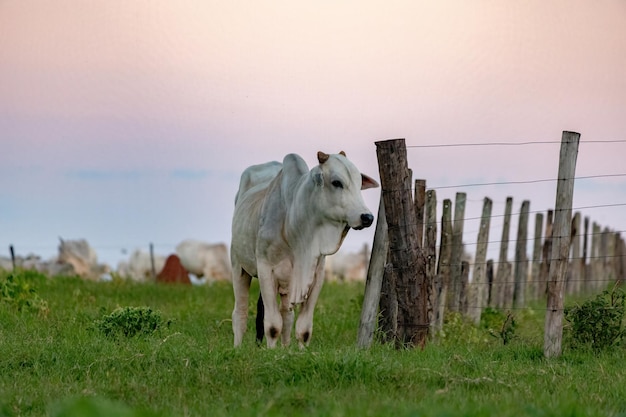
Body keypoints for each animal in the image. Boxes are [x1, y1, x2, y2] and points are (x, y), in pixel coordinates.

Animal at [229, 151, 376, 346]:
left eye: (360, 184)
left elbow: (303, 329)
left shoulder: (316, 274)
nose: (367, 217)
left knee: (287, 314)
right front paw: (271, 351)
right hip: (238, 265)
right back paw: (237, 347)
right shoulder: (266, 269)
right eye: (337, 182)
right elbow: (273, 325)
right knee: (240, 312)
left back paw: (285, 347)